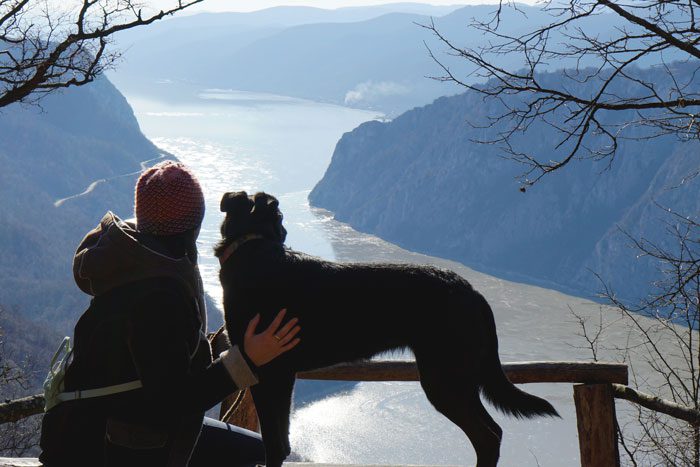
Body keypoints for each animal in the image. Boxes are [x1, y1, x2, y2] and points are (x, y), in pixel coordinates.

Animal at [216, 191, 560, 467]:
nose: (286, 230)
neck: (255, 250)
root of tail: (472, 291)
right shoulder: (283, 374)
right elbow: (282, 440)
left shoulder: (266, 369)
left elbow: (273, 443)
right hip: (454, 377)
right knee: (492, 432)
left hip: (445, 379)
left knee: (488, 435)